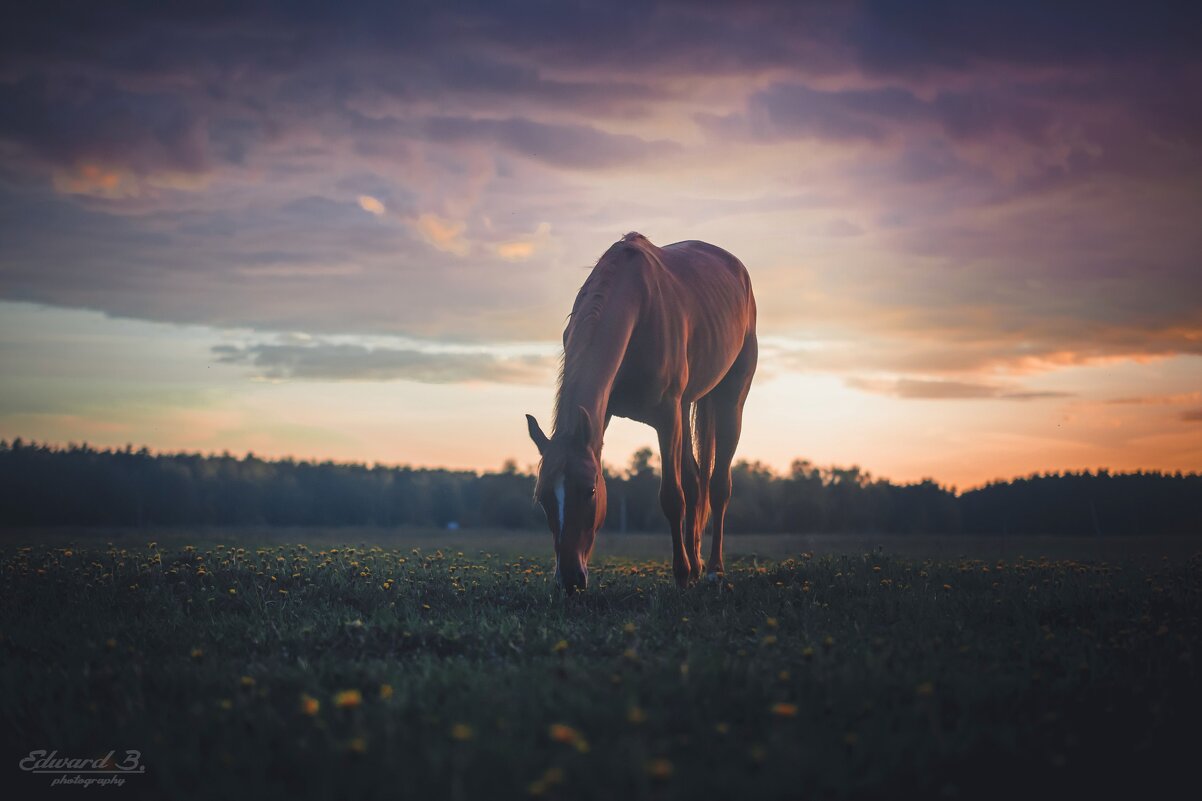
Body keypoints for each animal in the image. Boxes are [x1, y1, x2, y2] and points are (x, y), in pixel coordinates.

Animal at [524, 230, 754, 586]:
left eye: (589, 490)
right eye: (542, 496)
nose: (570, 578)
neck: (638, 309)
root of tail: (737, 269)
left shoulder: (667, 417)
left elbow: (672, 497)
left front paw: (681, 574)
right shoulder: (602, 415)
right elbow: (684, 490)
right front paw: (688, 569)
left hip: (730, 399)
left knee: (718, 486)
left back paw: (714, 569)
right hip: (686, 407)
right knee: (695, 482)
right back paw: (698, 563)